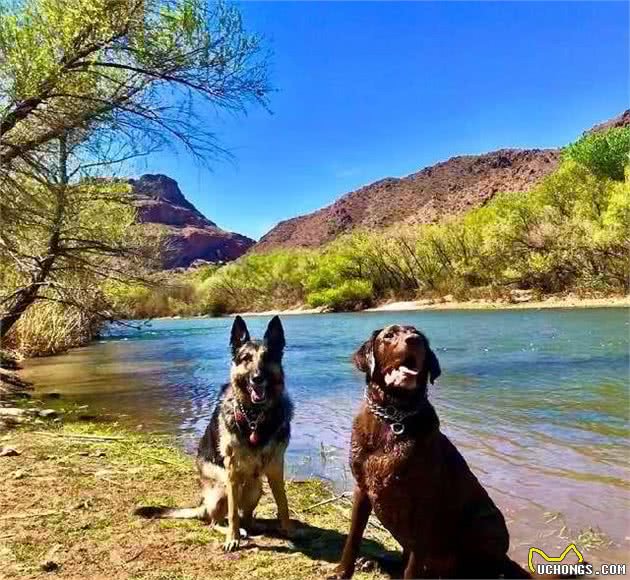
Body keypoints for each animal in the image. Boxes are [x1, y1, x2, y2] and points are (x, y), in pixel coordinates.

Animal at [136, 314, 294, 552]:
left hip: (255, 487)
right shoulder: (232, 471)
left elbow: (283, 503)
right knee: (218, 520)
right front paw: (232, 539)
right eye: (246, 358)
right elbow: (233, 514)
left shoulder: (276, 467)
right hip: (223, 487)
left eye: (267, 358)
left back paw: (256, 527)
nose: (257, 378)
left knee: (246, 517)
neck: (255, 418)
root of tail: (202, 502)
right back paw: (234, 532)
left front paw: (288, 531)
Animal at [334, 324, 532, 576]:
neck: (394, 416)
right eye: (389, 335)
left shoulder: (424, 500)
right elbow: (353, 537)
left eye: (419, 336)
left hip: (486, 524)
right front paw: (342, 571)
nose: (414, 340)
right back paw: (374, 562)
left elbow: (414, 562)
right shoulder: (362, 488)